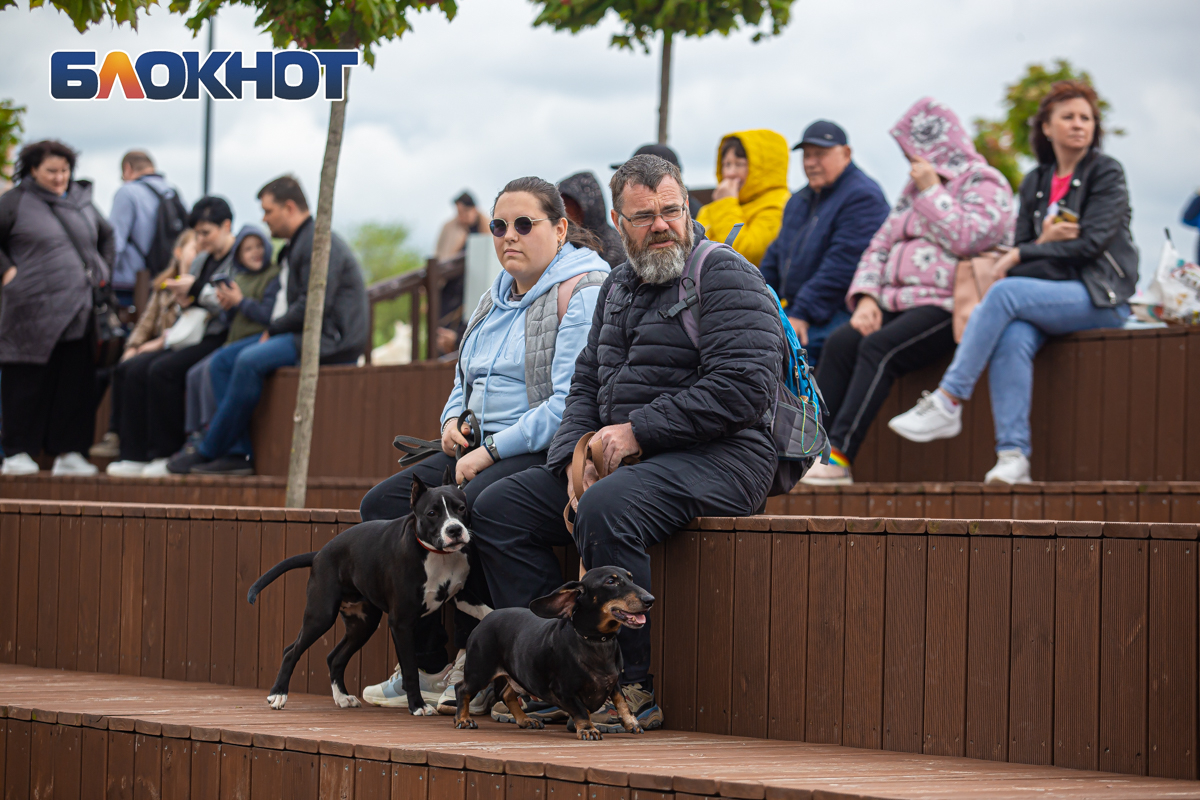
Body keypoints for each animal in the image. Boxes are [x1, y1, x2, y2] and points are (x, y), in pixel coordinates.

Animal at [246, 465, 489, 714]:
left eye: (460, 508)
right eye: (432, 513)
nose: (454, 529)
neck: (438, 555)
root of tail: (319, 553)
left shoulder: (462, 595)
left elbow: (486, 610)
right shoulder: (401, 623)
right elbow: (410, 669)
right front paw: (417, 706)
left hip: (363, 624)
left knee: (334, 658)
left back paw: (342, 697)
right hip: (320, 616)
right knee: (291, 651)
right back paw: (278, 694)